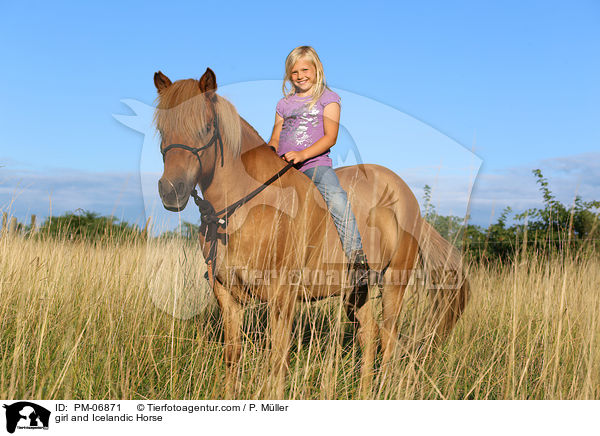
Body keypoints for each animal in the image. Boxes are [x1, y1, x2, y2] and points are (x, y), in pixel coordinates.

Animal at [151, 68, 468, 398]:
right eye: (162, 129)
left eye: (207, 127)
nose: (171, 191)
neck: (242, 209)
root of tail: (409, 201)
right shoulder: (226, 294)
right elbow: (232, 354)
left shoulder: (282, 295)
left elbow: (277, 358)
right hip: (358, 292)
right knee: (369, 337)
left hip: (395, 283)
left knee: (388, 339)